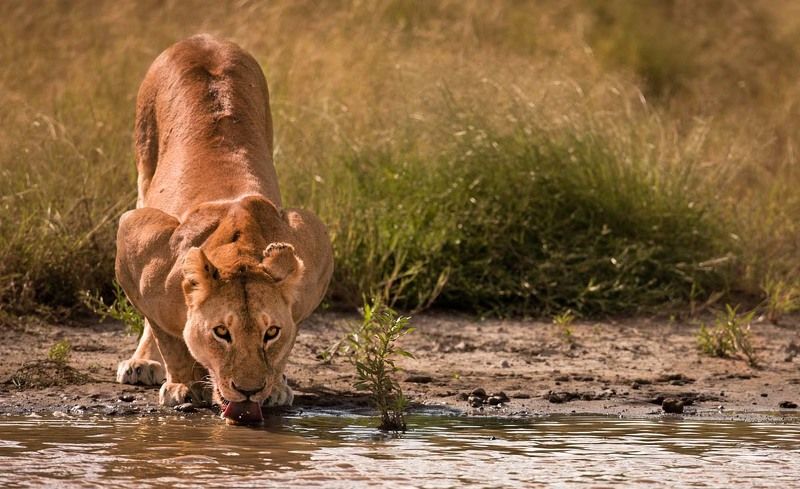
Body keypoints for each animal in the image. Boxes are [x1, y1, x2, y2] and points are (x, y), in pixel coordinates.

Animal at [114, 34, 333, 424]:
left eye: (270, 332)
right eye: (221, 332)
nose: (249, 390)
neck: (240, 245)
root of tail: (203, 38)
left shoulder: (313, 242)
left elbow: (292, 333)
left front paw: (276, 385)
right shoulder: (135, 238)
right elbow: (167, 334)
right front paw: (182, 384)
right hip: (143, 162)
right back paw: (142, 364)